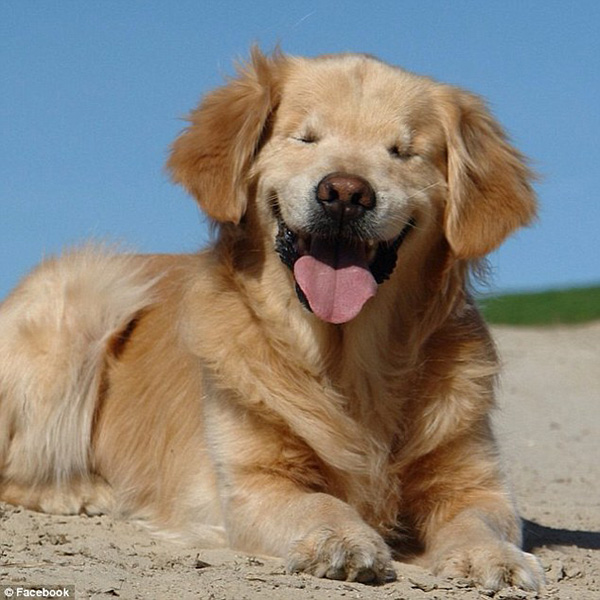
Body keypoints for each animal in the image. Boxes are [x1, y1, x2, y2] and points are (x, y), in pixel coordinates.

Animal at [0, 48, 544, 592]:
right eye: (305, 138)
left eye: (402, 151)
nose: (345, 193)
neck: (350, 366)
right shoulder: (252, 479)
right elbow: (316, 501)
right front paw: (342, 539)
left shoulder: (474, 480)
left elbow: (480, 517)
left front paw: (492, 556)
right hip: (88, 298)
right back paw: (78, 490)